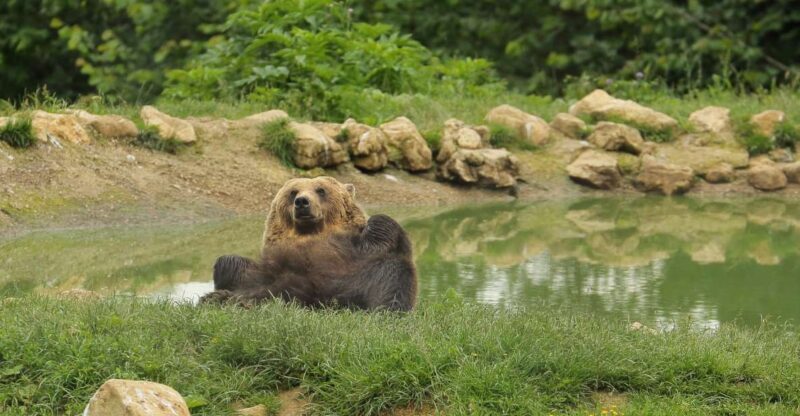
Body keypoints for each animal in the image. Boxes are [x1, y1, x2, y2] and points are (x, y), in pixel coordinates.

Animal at [201, 176, 417, 311]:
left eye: (321, 190)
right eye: (293, 192)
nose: (302, 202)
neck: (310, 234)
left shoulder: (354, 255)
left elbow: (382, 232)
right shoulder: (272, 266)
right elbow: (232, 264)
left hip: (355, 284)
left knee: (392, 273)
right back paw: (220, 298)